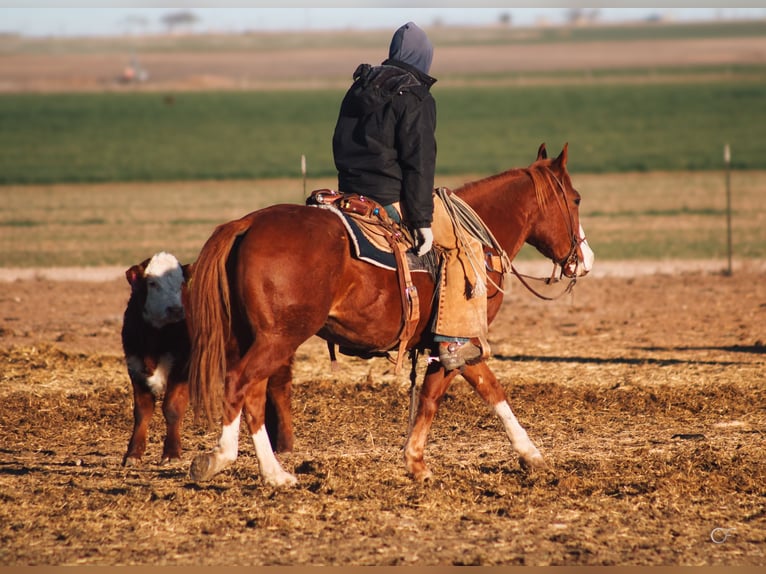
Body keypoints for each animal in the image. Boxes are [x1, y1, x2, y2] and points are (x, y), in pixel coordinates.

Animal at [121, 253, 192, 468]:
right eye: (152, 283)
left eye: (181, 284)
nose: (176, 310)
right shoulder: (135, 367)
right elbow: (142, 412)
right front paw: (133, 453)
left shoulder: (182, 367)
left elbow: (172, 407)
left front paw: (172, 453)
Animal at [184, 144, 592, 486]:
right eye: (575, 198)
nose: (585, 260)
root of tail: (248, 223)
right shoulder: (459, 340)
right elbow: (448, 394)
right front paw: (421, 461)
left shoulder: (450, 344)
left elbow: (478, 390)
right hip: (278, 338)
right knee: (239, 384)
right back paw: (238, 463)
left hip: (252, 337)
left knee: (251, 394)